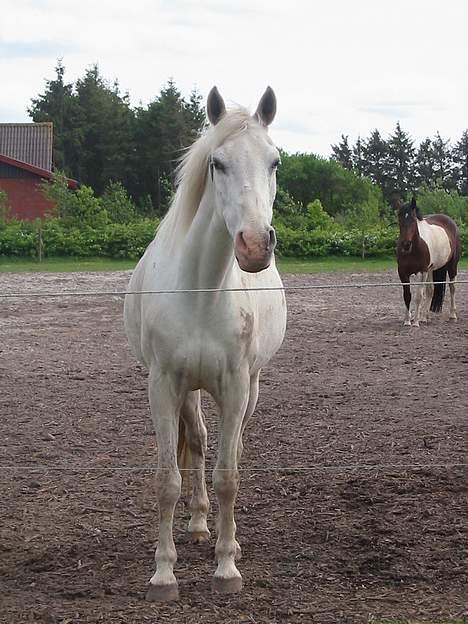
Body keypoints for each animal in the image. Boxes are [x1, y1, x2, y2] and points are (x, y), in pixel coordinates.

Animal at [122, 86, 288, 600]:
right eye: (218, 163)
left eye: (275, 161)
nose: (254, 245)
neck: (200, 288)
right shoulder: (163, 384)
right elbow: (167, 479)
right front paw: (163, 573)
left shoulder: (235, 386)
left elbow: (228, 476)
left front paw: (226, 568)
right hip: (189, 388)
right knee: (195, 440)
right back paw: (196, 525)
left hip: (250, 387)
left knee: (227, 449)